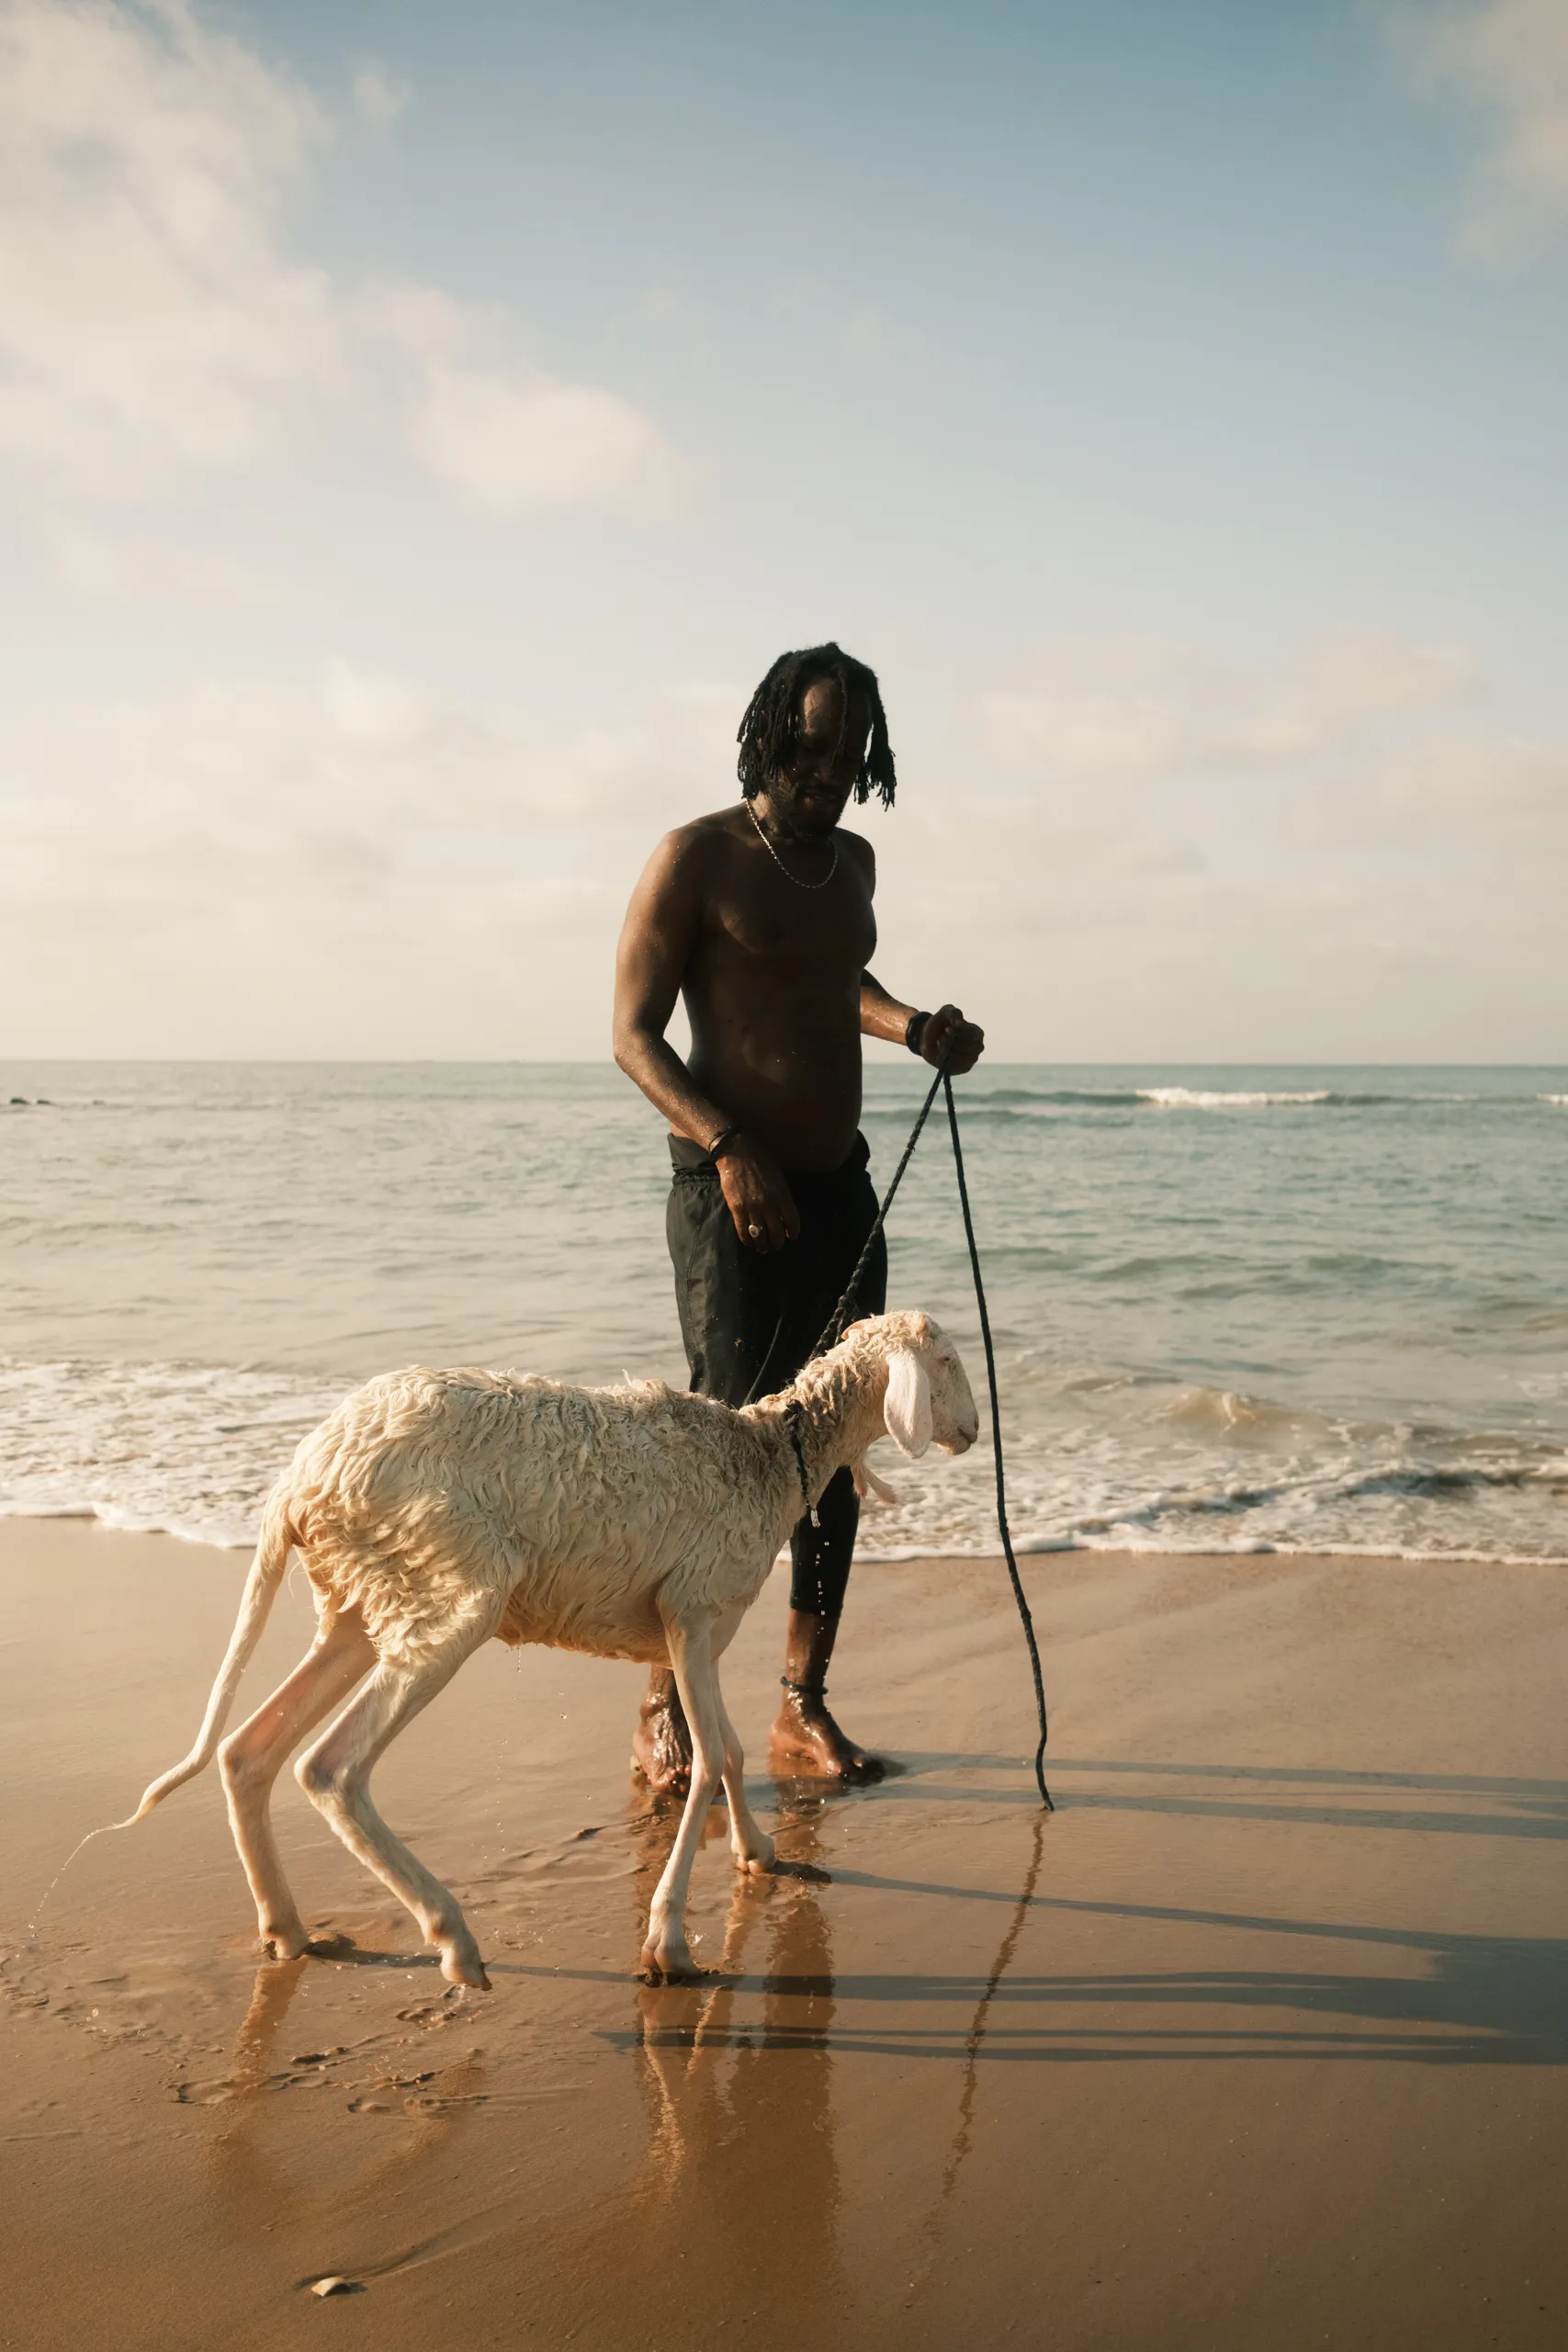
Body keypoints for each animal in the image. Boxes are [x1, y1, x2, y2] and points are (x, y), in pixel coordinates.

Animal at [124, 1311, 979, 1987]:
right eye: (946, 1360)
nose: (972, 1432)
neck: (769, 1453)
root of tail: (302, 1479)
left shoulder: (696, 1632)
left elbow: (730, 1753)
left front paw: (758, 1851)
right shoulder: (693, 1610)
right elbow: (708, 1760)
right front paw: (668, 1941)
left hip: (363, 1598)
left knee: (247, 1752)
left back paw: (288, 1930)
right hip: (445, 1586)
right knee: (329, 1767)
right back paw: (453, 1941)